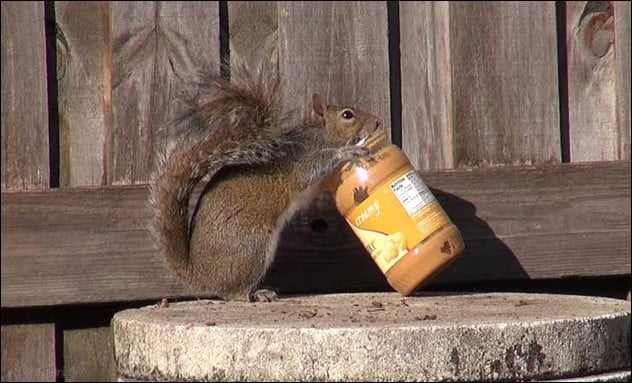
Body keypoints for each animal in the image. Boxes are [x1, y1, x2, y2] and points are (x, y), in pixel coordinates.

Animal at [148, 61, 382, 304]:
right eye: (347, 115)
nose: (377, 122)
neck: (320, 135)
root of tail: (199, 274)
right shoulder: (303, 161)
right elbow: (313, 168)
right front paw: (347, 152)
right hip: (251, 246)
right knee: (232, 293)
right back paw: (258, 294)